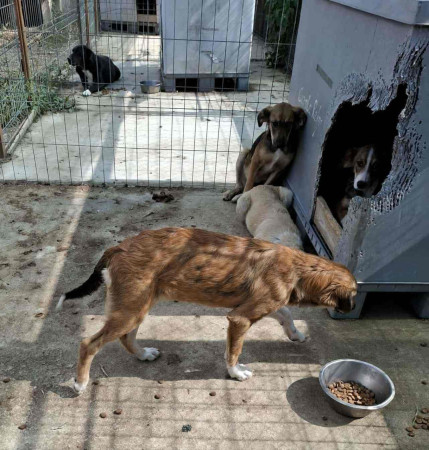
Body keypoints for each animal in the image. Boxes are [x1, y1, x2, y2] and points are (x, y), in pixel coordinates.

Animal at [56, 227, 357, 394]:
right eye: (354, 294)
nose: (353, 309)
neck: (298, 268)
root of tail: (118, 247)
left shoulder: (259, 305)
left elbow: (286, 315)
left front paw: (296, 335)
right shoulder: (240, 318)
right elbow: (234, 352)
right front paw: (236, 374)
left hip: (137, 306)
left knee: (125, 337)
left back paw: (144, 355)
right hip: (130, 309)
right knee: (89, 343)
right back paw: (80, 384)